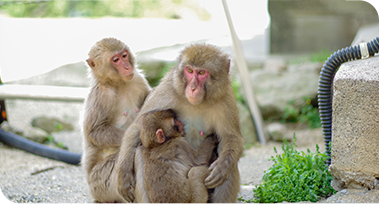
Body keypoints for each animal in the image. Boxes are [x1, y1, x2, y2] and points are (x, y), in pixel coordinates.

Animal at [82, 37, 151, 203]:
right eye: (115, 60)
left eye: (124, 55)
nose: (127, 66)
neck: (118, 83)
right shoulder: (101, 95)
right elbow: (95, 132)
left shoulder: (138, 79)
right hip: (99, 183)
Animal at [117, 43, 245, 203]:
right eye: (189, 71)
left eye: (201, 72)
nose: (192, 88)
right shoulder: (167, 90)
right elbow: (136, 127)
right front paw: (123, 175)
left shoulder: (226, 98)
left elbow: (231, 138)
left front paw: (222, 168)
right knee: (140, 152)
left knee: (229, 164)